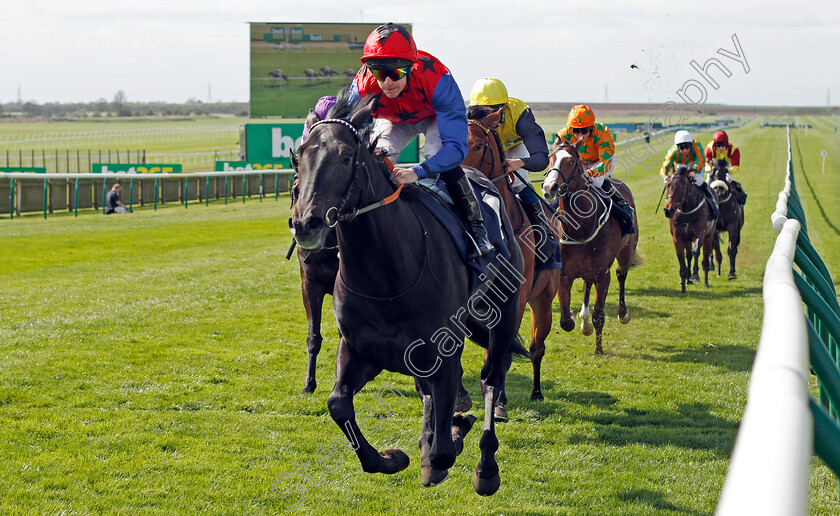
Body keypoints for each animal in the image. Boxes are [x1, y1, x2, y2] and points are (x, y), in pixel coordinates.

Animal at [290, 94, 524, 494]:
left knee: (491, 378)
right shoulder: (361, 349)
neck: (387, 277)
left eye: (346, 157)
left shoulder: (445, 354)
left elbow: (445, 449)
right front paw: (392, 457)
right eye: (300, 155)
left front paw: (451, 438)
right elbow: (338, 404)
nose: (307, 223)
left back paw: (486, 468)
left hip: (504, 317)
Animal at [462, 112, 560, 408]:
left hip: (542, 299)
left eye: (478, 145)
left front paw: (498, 400)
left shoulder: (515, 297)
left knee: (536, 348)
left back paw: (536, 391)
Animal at [540, 141, 640, 358]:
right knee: (587, 284)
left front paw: (599, 349)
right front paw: (578, 319)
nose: (549, 187)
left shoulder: (603, 275)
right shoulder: (564, 275)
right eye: (550, 158)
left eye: (571, 161)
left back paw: (623, 314)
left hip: (626, 251)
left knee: (621, 273)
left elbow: (599, 314)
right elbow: (565, 322)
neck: (579, 230)